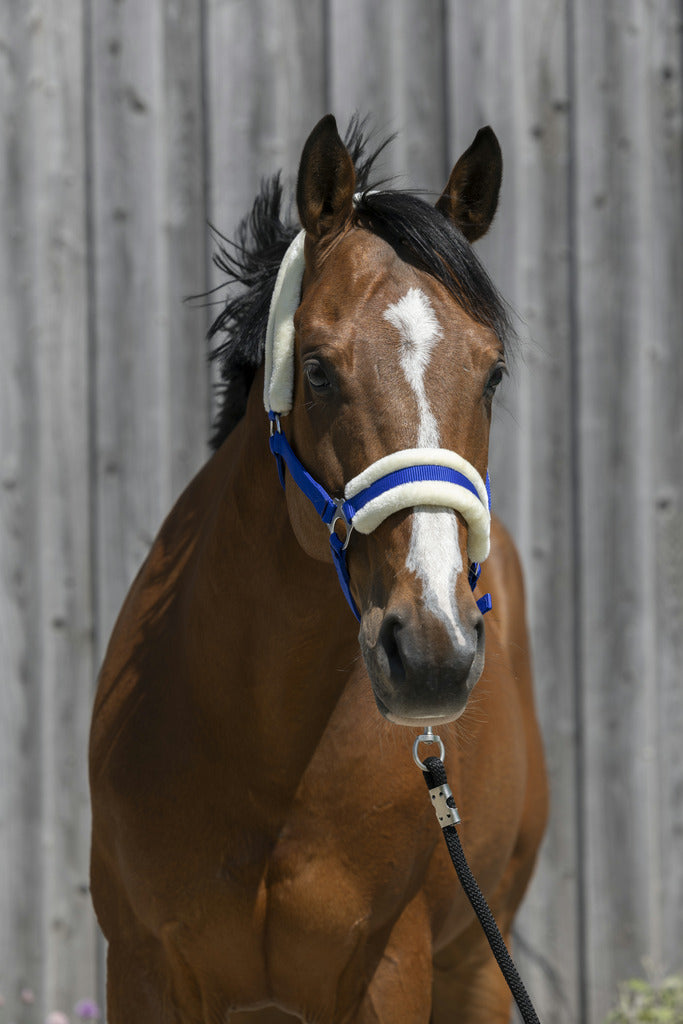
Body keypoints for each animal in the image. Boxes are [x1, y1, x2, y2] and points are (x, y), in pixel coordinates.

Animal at [90, 114, 548, 1024]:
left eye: (492, 372)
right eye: (316, 369)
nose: (432, 652)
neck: (264, 750)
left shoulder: (390, 971)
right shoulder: (142, 969)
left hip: (480, 963)